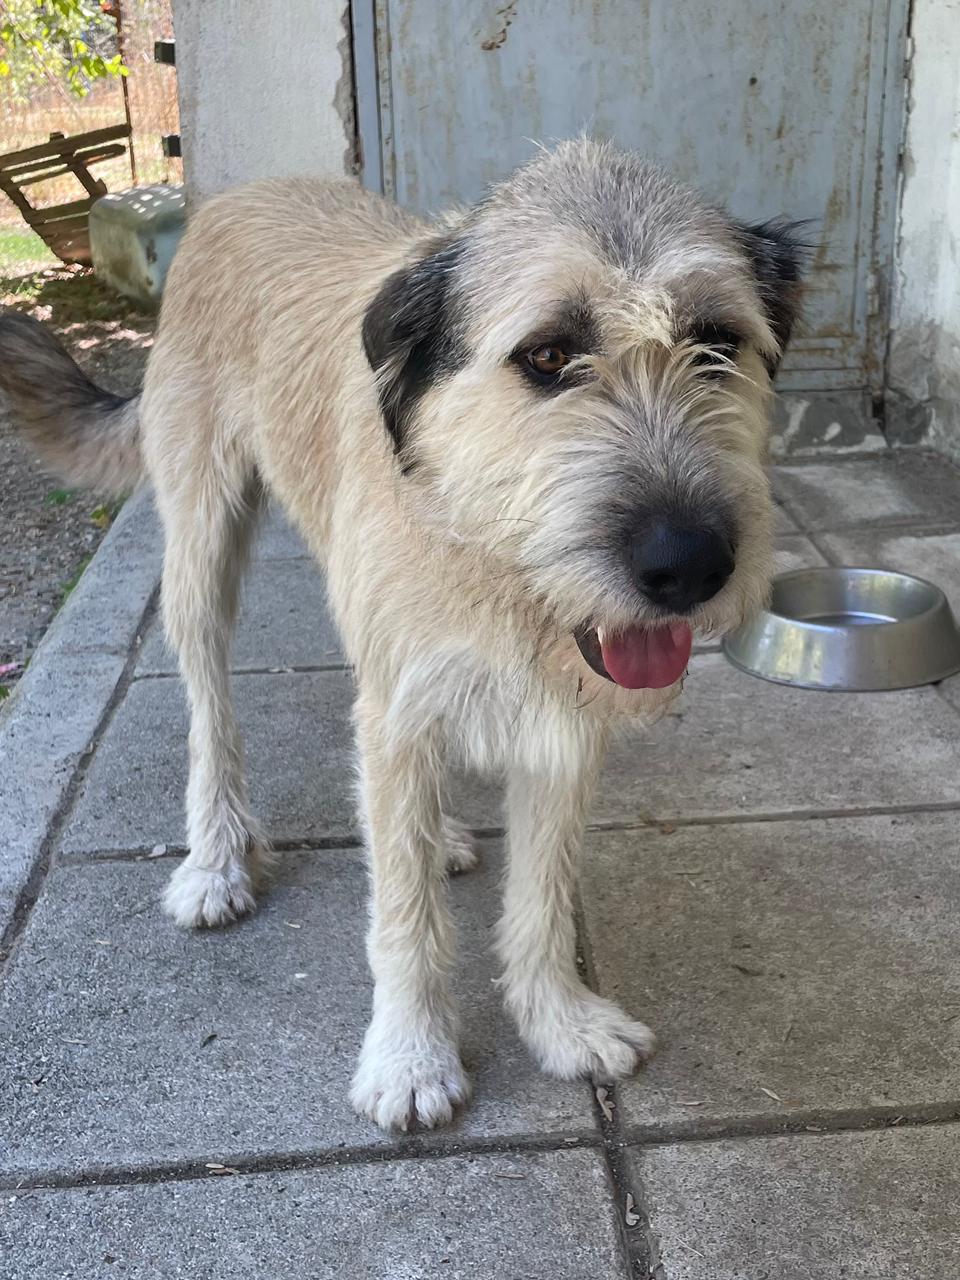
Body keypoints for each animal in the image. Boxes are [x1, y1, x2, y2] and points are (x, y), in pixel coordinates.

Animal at [0, 138, 804, 1132]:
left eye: (717, 342)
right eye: (548, 355)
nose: (688, 565)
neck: (475, 535)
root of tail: (243, 194)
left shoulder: (557, 723)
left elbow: (542, 889)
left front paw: (559, 1021)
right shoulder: (401, 704)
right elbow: (405, 915)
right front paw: (411, 1056)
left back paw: (443, 833)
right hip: (201, 549)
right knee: (210, 706)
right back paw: (216, 861)